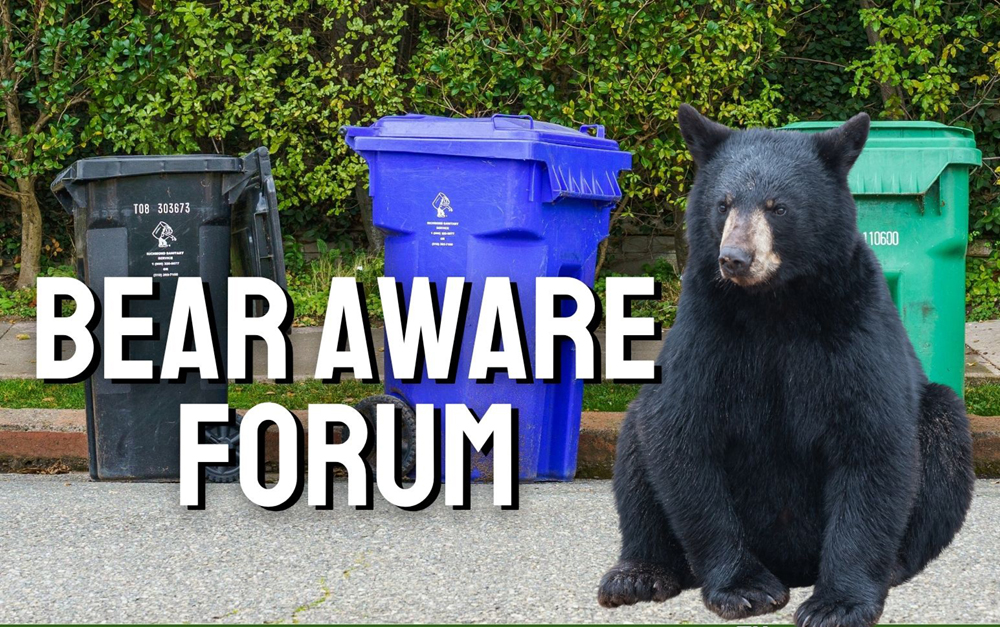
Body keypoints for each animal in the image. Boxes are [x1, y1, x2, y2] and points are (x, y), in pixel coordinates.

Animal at [597, 105, 975, 627]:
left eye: (778, 207)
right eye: (723, 204)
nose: (734, 259)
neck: (773, 305)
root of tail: (793, 565)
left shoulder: (853, 325)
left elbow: (871, 443)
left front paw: (837, 603)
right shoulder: (706, 328)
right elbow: (682, 436)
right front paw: (744, 588)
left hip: (937, 418)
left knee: (942, 438)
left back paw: (896, 565)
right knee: (637, 439)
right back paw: (640, 573)